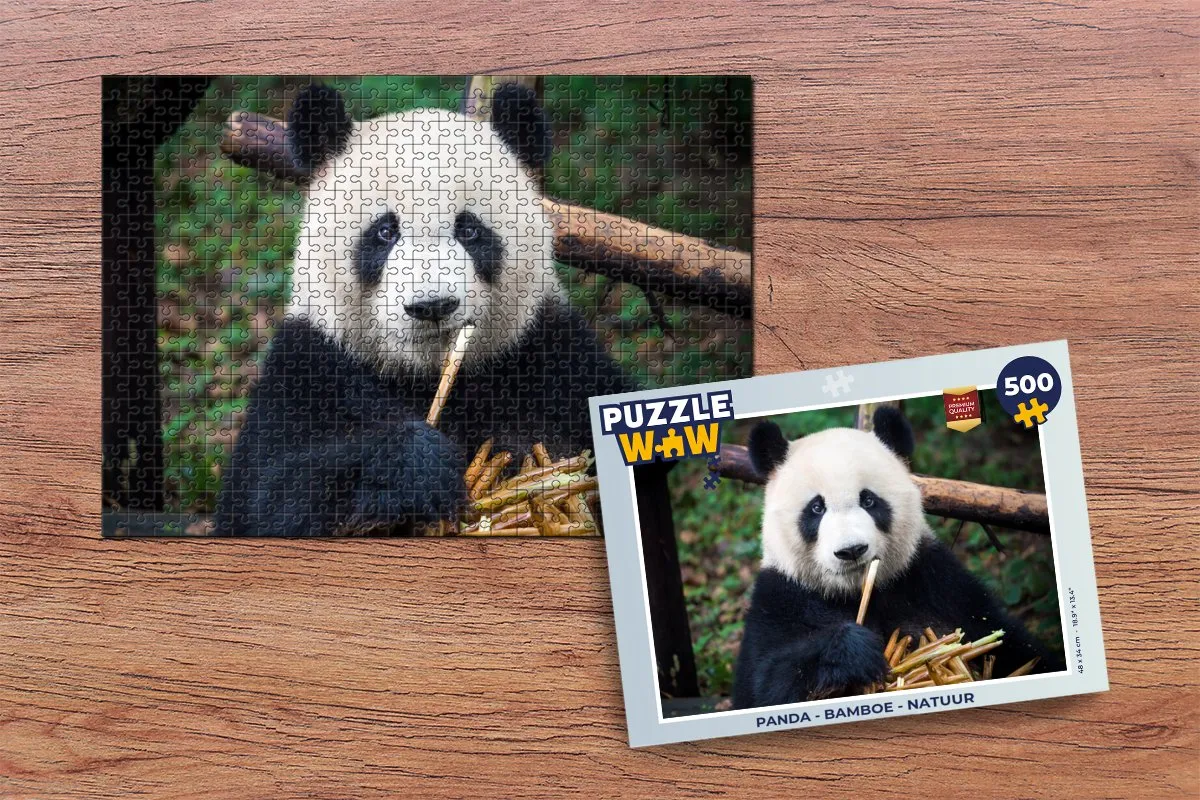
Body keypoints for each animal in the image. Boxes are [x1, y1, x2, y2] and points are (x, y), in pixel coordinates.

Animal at [215, 83, 631, 536]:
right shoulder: (310, 369)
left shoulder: (552, 357)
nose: (432, 306)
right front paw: (416, 465)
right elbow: (268, 496)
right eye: (384, 231)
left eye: (469, 229)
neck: (426, 376)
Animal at [732, 407, 1061, 709]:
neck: (858, 593)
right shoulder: (780, 599)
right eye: (816, 508)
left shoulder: (937, 581)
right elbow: (765, 686)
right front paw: (853, 651)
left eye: (868, 500)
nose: (851, 550)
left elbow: (1010, 644)